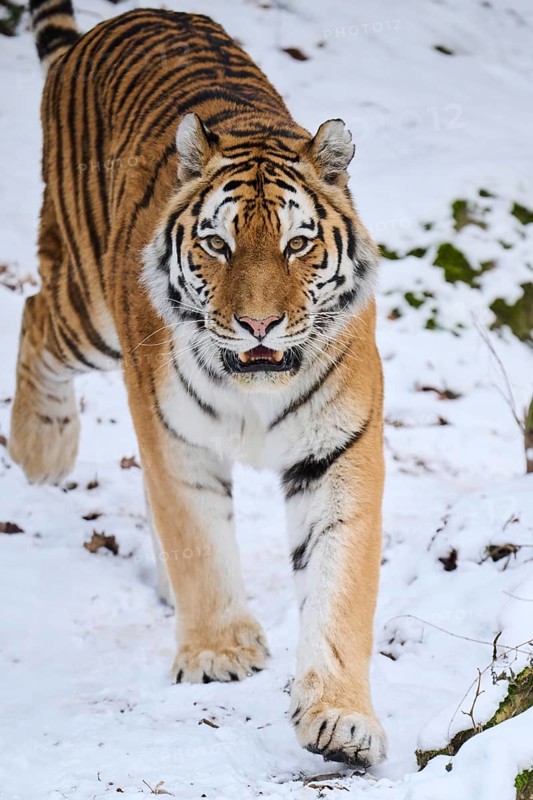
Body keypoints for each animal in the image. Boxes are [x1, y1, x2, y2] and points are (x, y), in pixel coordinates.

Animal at [9, 0, 387, 768]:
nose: (258, 324)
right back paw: (42, 449)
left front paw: (340, 719)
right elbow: (196, 537)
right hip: (88, 309)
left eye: (297, 244)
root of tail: (112, 24)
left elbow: (340, 585)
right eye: (218, 243)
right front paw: (218, 654)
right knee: (35, 310)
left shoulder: (341, 451)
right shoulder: (171, 431)